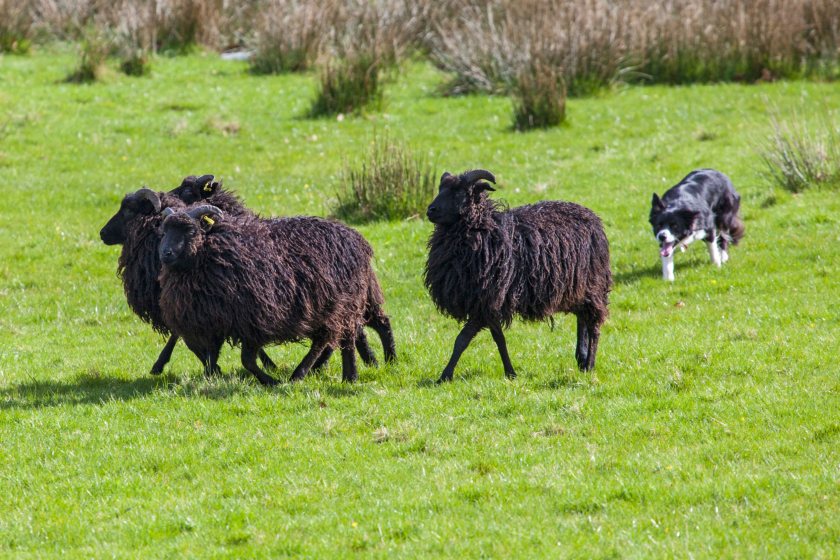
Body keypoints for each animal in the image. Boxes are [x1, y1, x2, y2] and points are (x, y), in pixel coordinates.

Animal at [157, 205, 378, 384]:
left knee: (336, 339)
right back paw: (335, 376)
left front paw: (270, 381)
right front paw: (213, 377)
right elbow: (212, 357)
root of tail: (356, 238)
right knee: (329, 338)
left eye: (190, 230)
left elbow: (247, 361)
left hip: (341, 304)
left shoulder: (253, 321)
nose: (165, 253)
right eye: (164, 231)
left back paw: (319, 375)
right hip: (326, 308)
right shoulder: (214, 321)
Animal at [426, 170, 612, 380]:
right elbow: (499, 339)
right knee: (582, 318)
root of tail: (594, 219)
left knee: (594, 325)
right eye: (440, 189)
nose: (430, 210)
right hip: (577, 288)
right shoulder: (489, 303)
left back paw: (589, 365)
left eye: (459, 193)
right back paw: (581, 357)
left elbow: (462, 339)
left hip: (593, 284)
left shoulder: (485, 301)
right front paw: (510, 372)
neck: (483, 229)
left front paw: (444, 376)